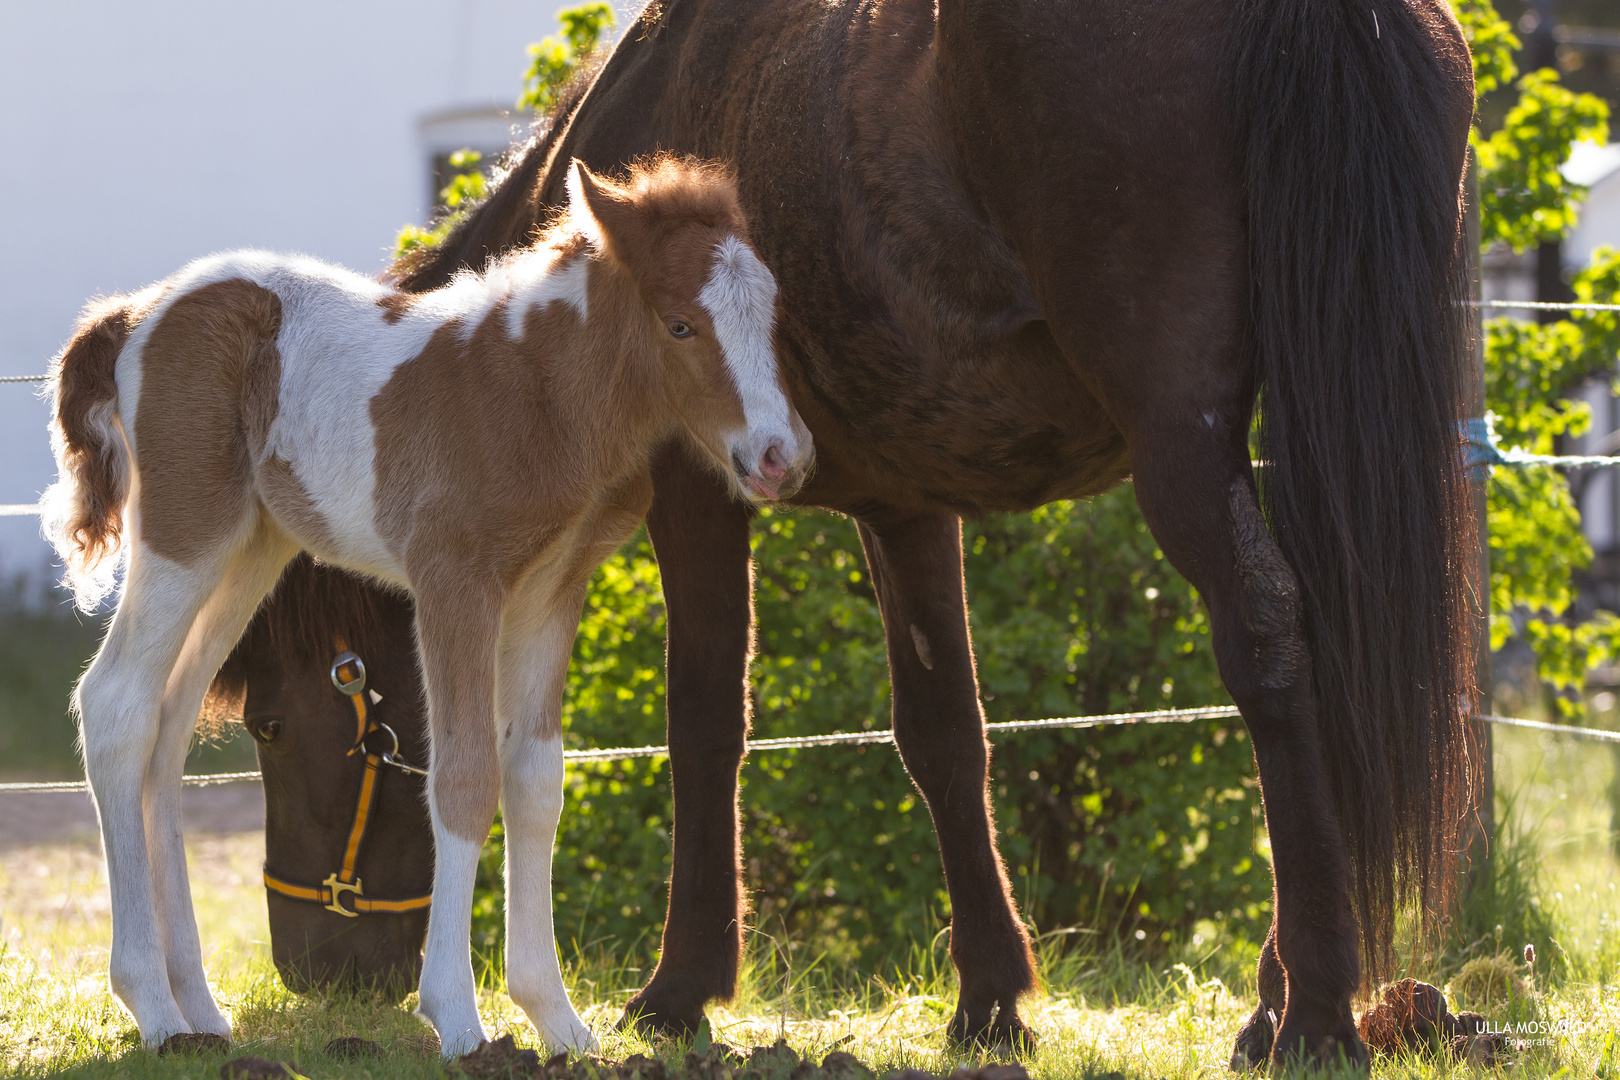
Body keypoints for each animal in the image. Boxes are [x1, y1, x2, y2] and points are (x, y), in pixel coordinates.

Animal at [41, 158, 810, 1055]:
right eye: (682, 325)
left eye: (772, 312)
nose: (780, 456)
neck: (534, 394)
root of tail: (135, 313)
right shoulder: (453, 582)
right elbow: (466, 778)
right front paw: (460, 1018)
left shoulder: (553, 589)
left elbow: (537, 784)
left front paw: (559, 1022)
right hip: (184, 533)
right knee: (117, 703)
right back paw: (154, 1010)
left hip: (250, 546)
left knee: (167, 725)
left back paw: (198, 1006)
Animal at [246, 0, 1477, 1062]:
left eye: (268, 721)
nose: (315, 969)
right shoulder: (907, 508)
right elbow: (944, 736)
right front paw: (990, 999)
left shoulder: (695, 500)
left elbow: (705, 721)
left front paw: (680, 987)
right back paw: (1279, 995)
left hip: (1185, 444)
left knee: (1267, 644)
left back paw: (1314, 1009)